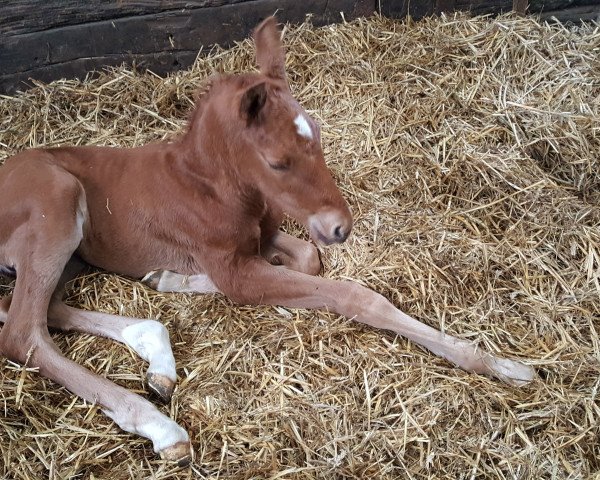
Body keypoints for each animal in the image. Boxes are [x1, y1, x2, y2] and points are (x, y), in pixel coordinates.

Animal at [0, 16, 536, 464]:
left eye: (318, 134)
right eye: (278, 162)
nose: (341, 226)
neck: (212, 187)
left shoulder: (266, 240)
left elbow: (309, 260)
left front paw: (171, 278)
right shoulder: (234, 267)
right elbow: (350, 295)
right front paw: (505, 366)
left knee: (39, 309)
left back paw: (159, 349)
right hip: (57, 203)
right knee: (23, 331)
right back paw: (159, 425)